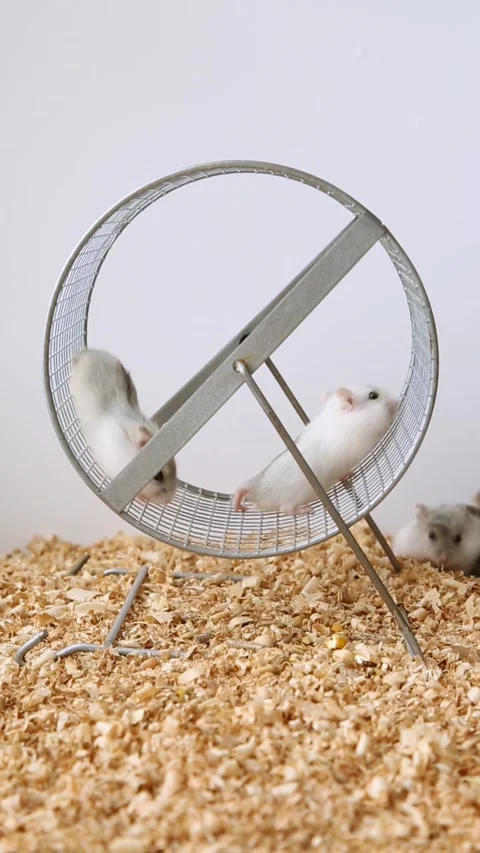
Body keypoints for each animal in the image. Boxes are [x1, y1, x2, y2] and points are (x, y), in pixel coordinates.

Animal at [233, 385, 398, 515]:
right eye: (373, 395)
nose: (396, 401)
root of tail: (256, 491)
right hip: (294, 496)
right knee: (286, 509)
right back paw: (306, 510)